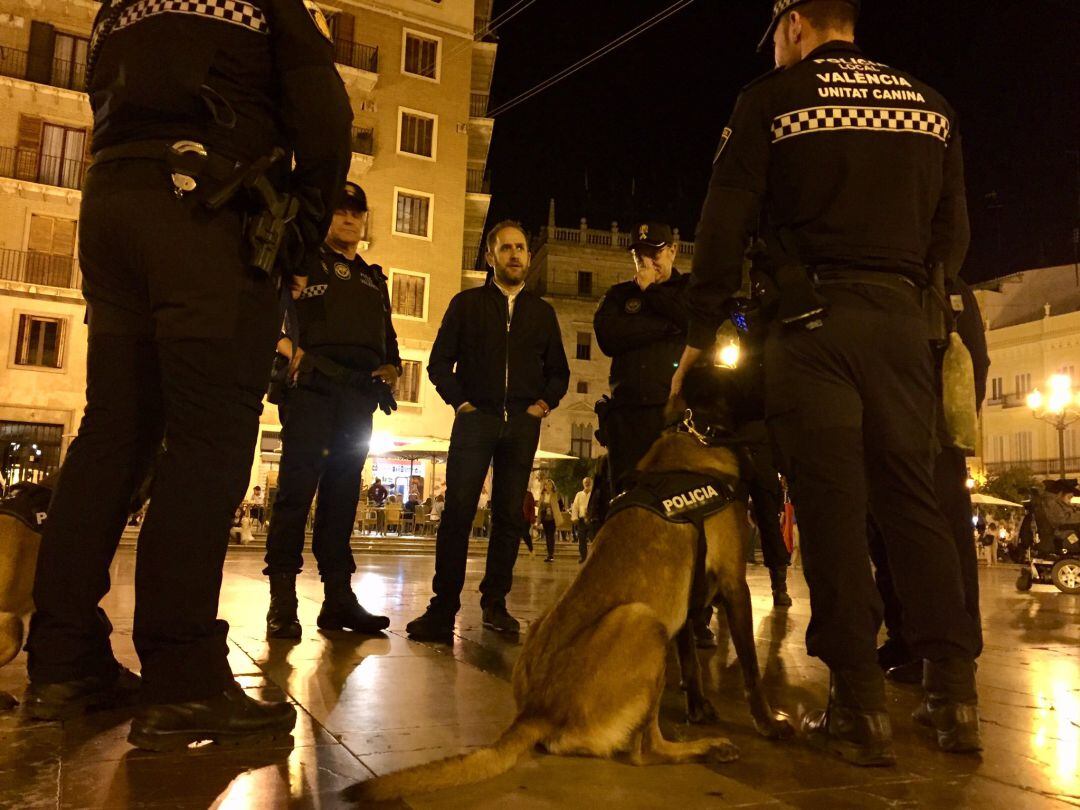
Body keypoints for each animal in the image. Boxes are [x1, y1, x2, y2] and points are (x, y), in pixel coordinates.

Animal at [347, 367, 794, 807]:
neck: (693, 435)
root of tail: (536, 712)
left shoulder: (688, 600)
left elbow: (693, 667)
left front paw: (699, 706)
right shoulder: (735, 585)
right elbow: (751, 668)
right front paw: (768, 722)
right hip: (643, 621)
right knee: (644, 750)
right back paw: (707, 747)